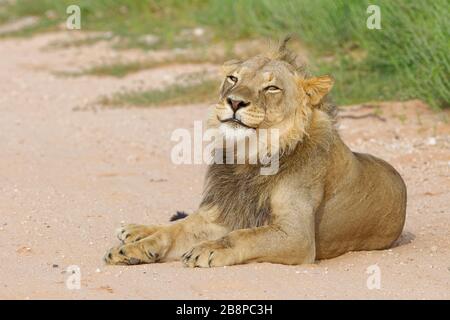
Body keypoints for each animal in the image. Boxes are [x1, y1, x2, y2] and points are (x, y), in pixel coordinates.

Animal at [103, 38, 406, 268]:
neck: (249, 155)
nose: (235, 102)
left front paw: (208, 249)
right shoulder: (222, 213)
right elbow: (173, 231)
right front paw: (132, 250)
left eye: (271, 87)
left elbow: (243, 236)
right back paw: (133, 232)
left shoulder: (297, 235)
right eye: (233, 78)